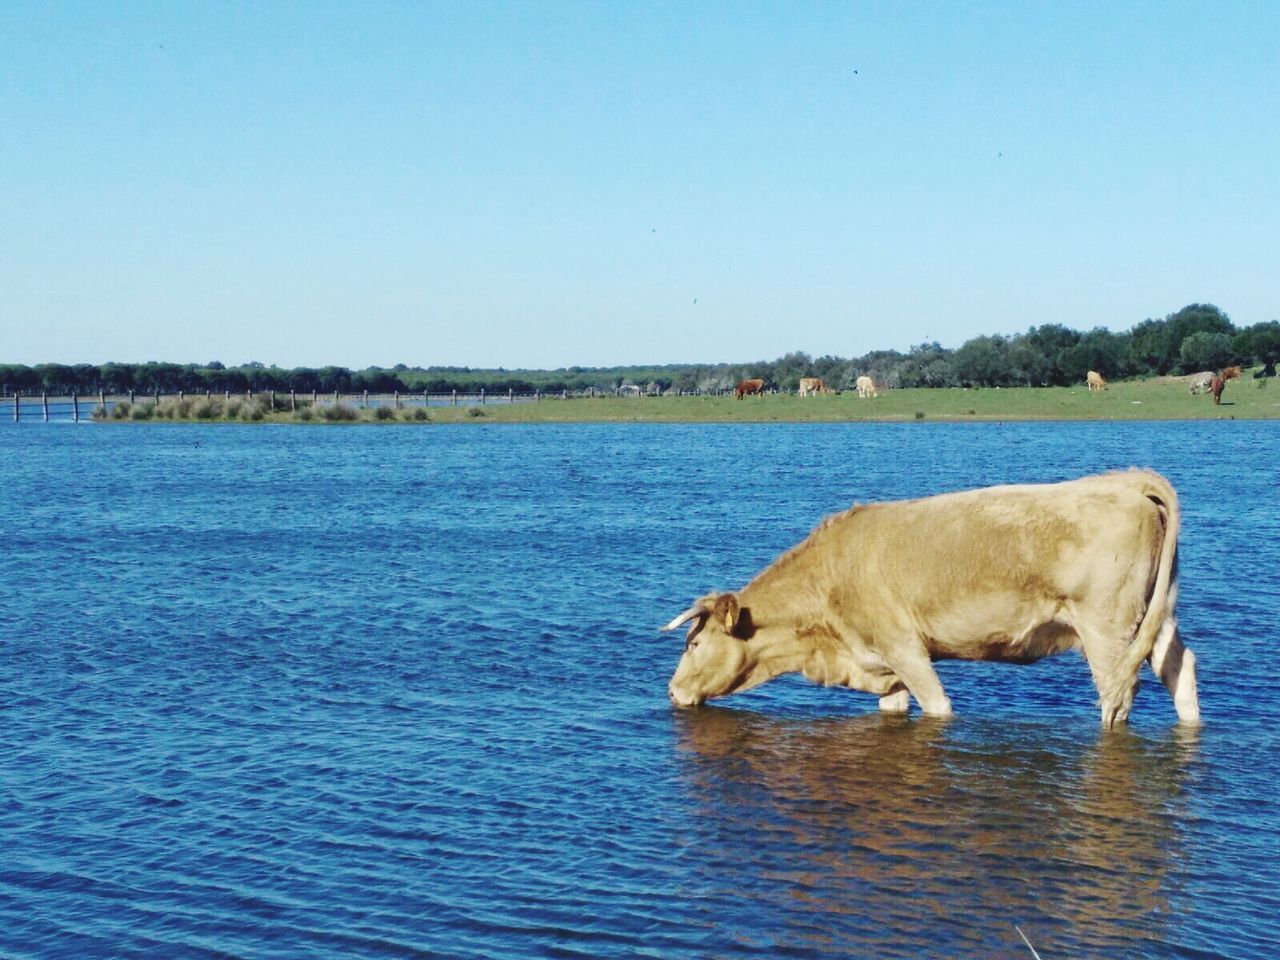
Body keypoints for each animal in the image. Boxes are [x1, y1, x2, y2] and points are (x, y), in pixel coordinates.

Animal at [665, 471, 1192, 727]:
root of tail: (1125, 482)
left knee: (1119, 696)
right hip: (1151, 617)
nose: (671, 691)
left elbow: (938, 708)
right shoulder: (881, 665)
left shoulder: (905, 649)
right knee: (1179, 667)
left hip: (1106, 628)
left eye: (694, 644)